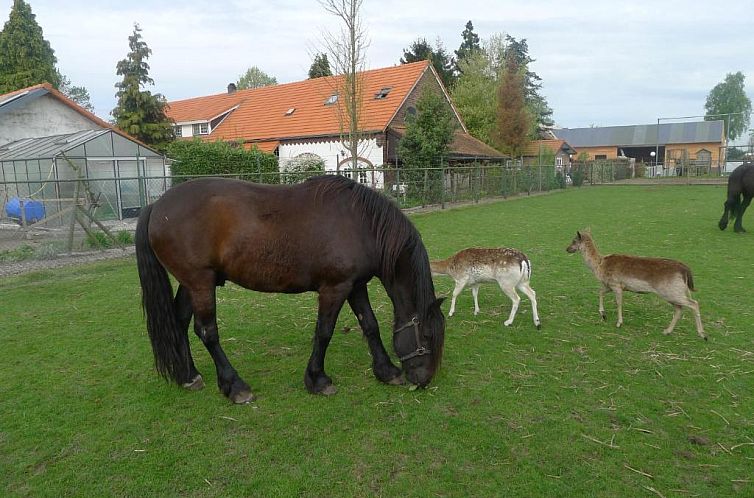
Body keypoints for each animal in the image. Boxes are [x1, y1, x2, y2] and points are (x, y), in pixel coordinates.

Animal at [136, 176, 444, 404]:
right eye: (427, 336)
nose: (424, 380)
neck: (360, 223)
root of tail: (156, 206)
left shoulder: (355, 286)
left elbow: (370, 325)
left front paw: (386, 371)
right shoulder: (335, 288)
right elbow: (324, 332)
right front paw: (317, 380)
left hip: (193, 283)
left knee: (179, 322)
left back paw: (189, 376)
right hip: (200, 283)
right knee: (207, 332)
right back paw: (235, 386)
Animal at [564, 229, 704, 338]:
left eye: (574, 240)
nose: (567, 249)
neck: (599, 265)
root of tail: (685, 270)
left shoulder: (616, 284)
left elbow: (618, 302)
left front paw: (619, 323)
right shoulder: (610, 285)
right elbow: (600, 292)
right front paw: (603, 315)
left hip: (671, 292)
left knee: (693, 303)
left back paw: (702, 334)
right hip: (677, 292)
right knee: (679, 308)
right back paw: (667, 331)